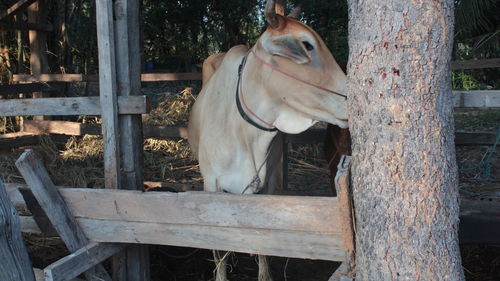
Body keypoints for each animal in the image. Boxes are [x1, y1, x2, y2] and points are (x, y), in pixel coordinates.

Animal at [187, 1, 348, 278]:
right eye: (306, 45)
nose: (352, 97)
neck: (245, 134)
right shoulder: (211, 184)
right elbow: (219, 249)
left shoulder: (269, 183)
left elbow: (262, 242)